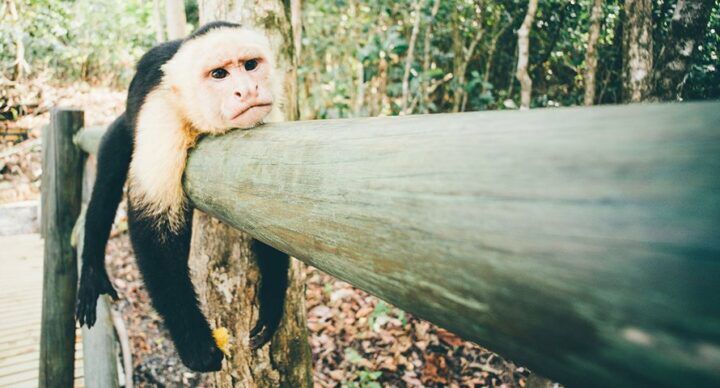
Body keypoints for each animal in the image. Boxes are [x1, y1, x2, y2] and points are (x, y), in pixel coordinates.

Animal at [76, 22, 290, 372]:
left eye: (250, 65)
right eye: (219, 74)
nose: (247, 90)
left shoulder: (270, 121)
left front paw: (271, 304)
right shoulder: (161, 113)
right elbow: (155, 223)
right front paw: (196, 345)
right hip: (129, 126)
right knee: (110, 166)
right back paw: (92, 268)